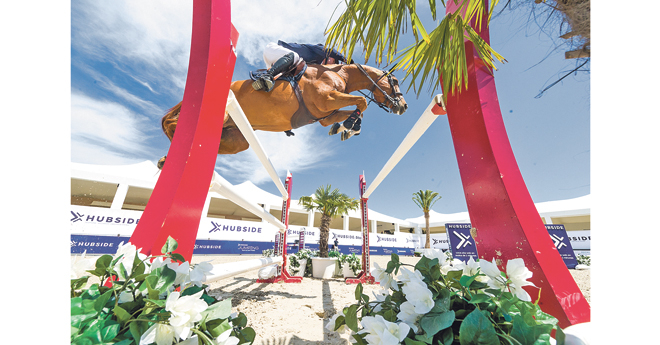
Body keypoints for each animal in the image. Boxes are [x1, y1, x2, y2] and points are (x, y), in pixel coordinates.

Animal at [159, 63, 408, 168]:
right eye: (395, 81)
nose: (403, 106)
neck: (341, 74)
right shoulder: (326, 99)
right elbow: (362, 101)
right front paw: (348, 125)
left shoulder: (325, 113)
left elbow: (354, 110)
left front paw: (347, 128)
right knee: (174, 123)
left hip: (236, 137)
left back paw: (169, 159)